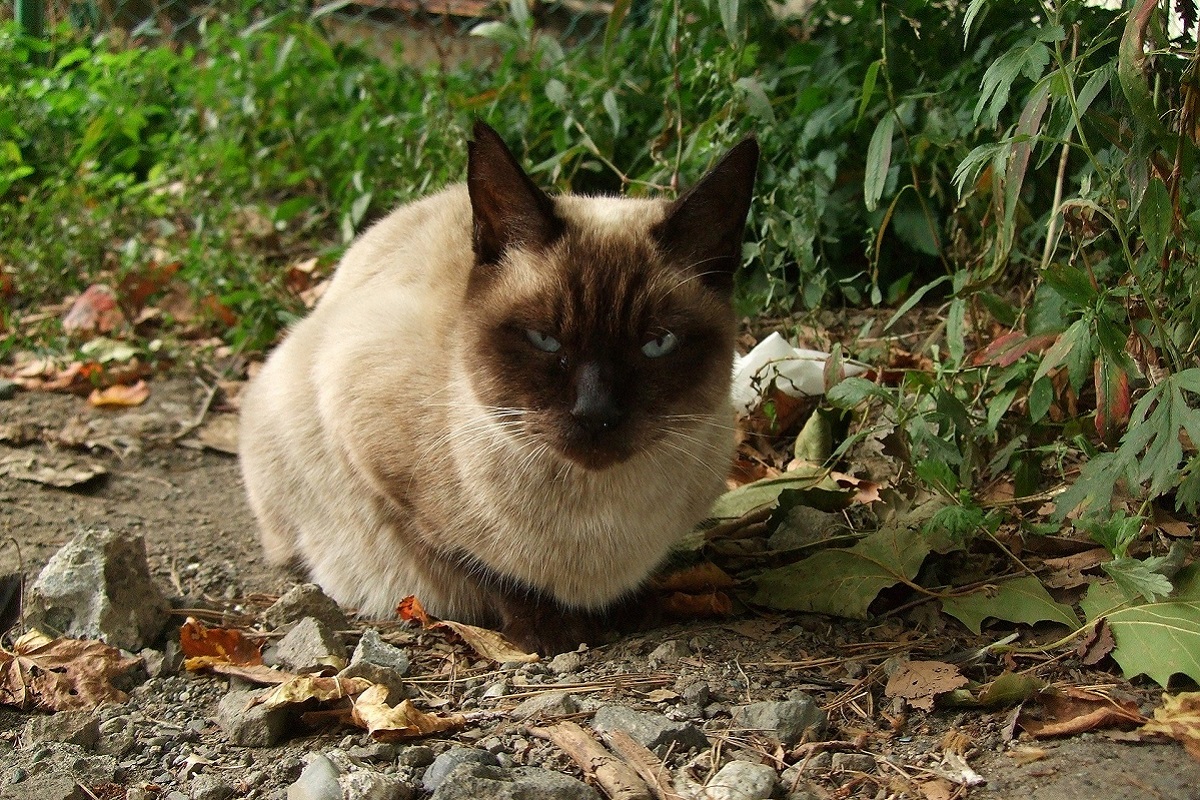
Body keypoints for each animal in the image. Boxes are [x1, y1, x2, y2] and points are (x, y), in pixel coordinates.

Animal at [238, 122, 753, 652]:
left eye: (657, 344)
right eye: (544, 339)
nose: (595, 413)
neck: (597, 520)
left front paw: (628, 608)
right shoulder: (372, 446)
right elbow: (482, 566)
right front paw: (553, 631)